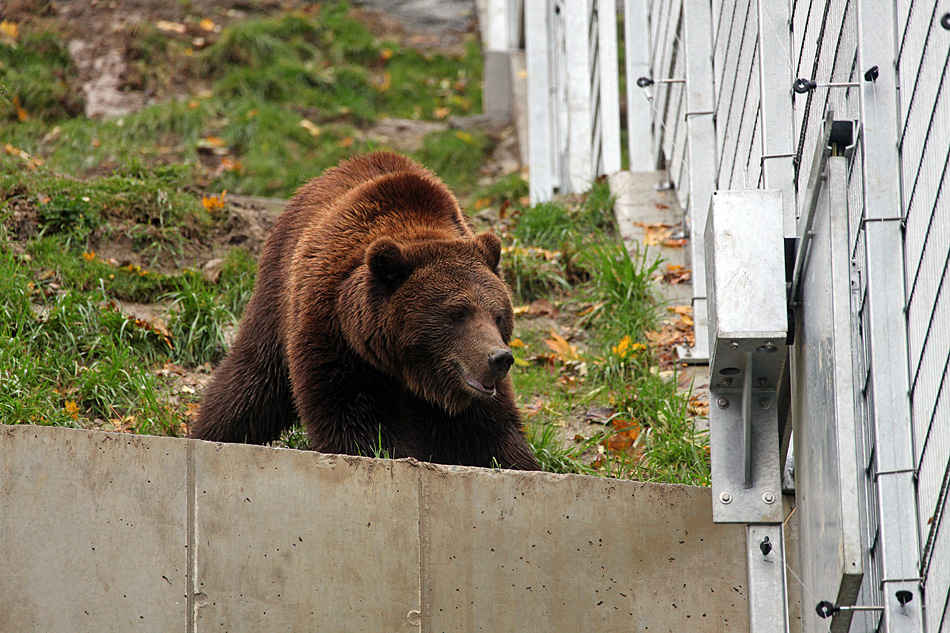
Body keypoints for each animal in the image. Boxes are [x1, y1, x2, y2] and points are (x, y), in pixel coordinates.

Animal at [190, 152, 540, 470]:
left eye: (498, 316)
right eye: (457, 313)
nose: (499, 358)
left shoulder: (475, 394)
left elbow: (491, 430)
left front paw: (518, 463)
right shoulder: (337, 336)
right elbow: (355, 420)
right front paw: (385, 453)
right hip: (277, 296)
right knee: (253, 380)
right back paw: (209, 432)